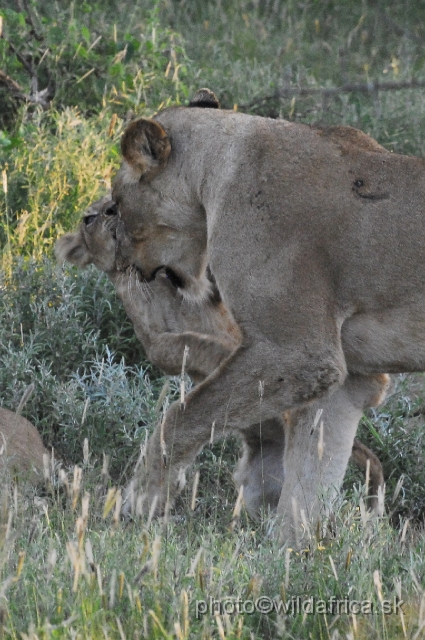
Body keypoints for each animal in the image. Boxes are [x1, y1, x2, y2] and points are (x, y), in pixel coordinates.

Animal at [54, 199, 386, 520]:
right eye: (90, 218)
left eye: (111, 204)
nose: (112, 211)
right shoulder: (154, 341)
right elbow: (179, 346)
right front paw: (217, 352)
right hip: (257, 486)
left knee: (368, 457)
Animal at [106, 87, 420, 540]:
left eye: (116, 203)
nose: (119, 258)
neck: (217, 171)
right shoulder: (349, 377)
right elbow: (309, 481)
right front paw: (292, 551)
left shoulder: (298, 355)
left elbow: (180, 419)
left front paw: (140, 504)